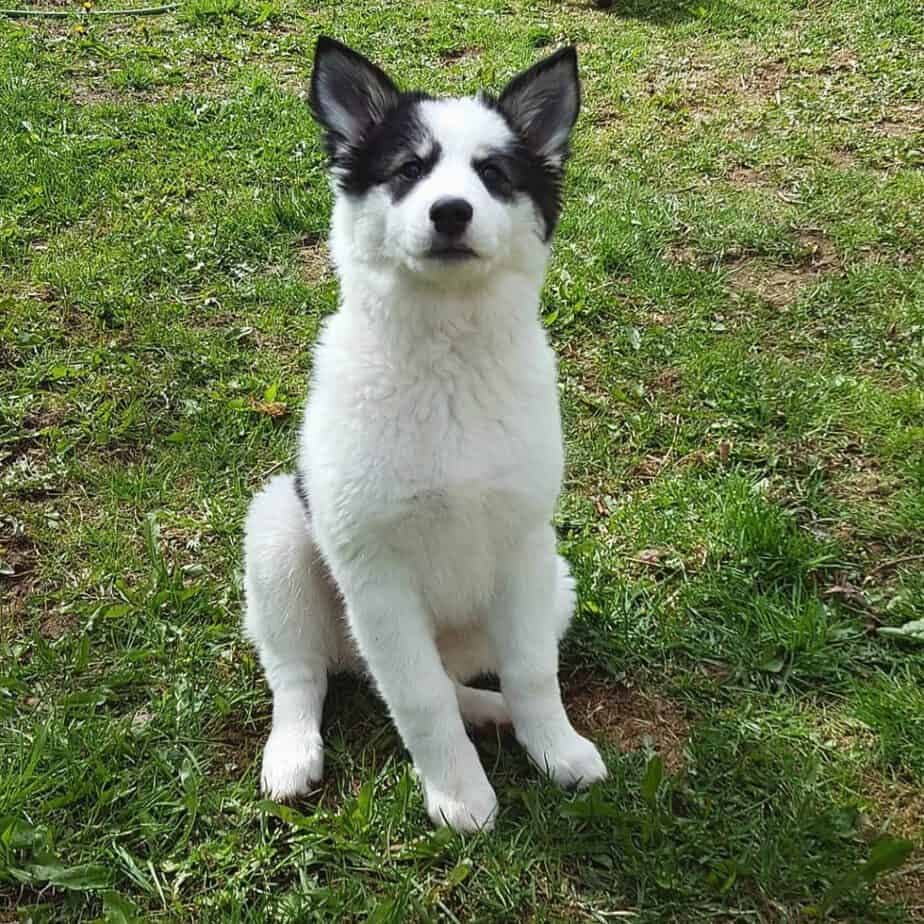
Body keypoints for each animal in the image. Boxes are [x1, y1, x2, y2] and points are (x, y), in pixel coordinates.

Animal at [242, 36, 608, 832]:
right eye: (408, 170)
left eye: (494, 175)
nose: (450, 212)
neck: (447, 358)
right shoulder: (375, 571)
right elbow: (416, 697)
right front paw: (459, 793)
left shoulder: (524, 547)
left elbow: (532, 670)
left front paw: (554, 747)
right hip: (280, 535)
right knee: (304, 674)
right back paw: (291, 753)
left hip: (556, 582)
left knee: (446, 675)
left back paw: (491, 710)